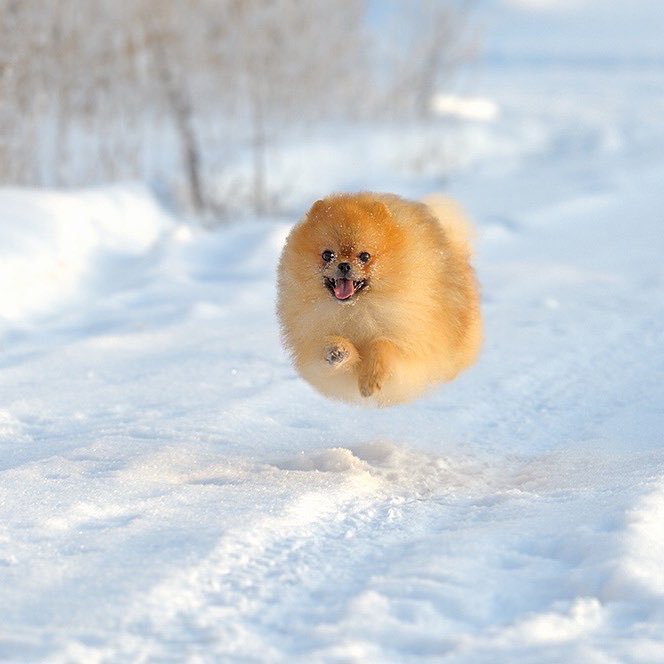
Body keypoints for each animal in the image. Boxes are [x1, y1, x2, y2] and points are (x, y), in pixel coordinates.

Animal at [276, 192, 482, 408]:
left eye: (364, 256)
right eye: (327, 255)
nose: (344, 265)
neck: (355, 308)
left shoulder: (411, 350)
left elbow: (383, 344)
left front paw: (371, 379)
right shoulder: (315, 355)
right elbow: (326, 350)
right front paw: (337, 350)